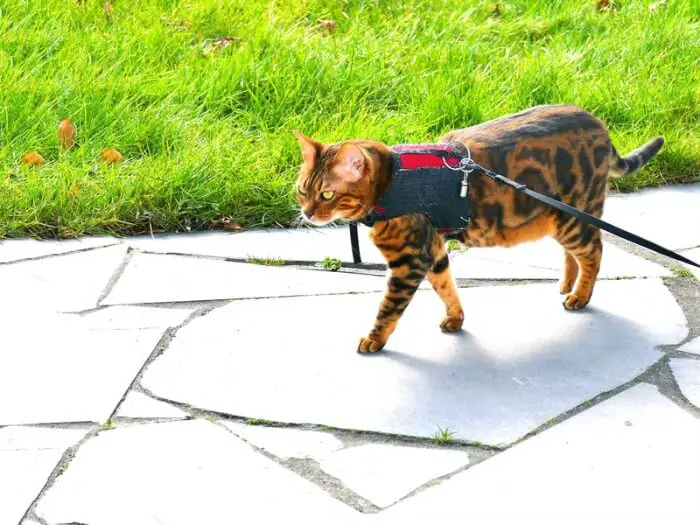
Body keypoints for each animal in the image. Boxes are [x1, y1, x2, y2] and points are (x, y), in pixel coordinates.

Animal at [292, 104, 664, 352]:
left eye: (327, 194)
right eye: (302, 191)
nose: (307, 213)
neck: (393, 182)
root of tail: (599, 123)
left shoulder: (410, 260)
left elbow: (388, 308)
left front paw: (373, 339)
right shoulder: (434, 251)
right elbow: (446, 287)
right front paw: (456, 318)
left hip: (573, 217)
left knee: (594, 252)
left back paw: (580, 296)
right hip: (559, 217)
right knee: (574, 254)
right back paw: (567, 285)